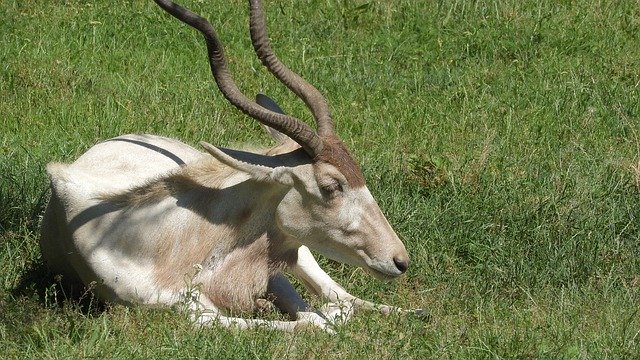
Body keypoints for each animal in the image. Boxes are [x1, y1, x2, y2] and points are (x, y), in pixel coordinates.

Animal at [40, 0, 412, 332]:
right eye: (331, 185)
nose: (400, 260)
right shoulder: (195, 315)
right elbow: (317, 322)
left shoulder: (271, 272)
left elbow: (326, 313)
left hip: (303, 252)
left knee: (343, 297)